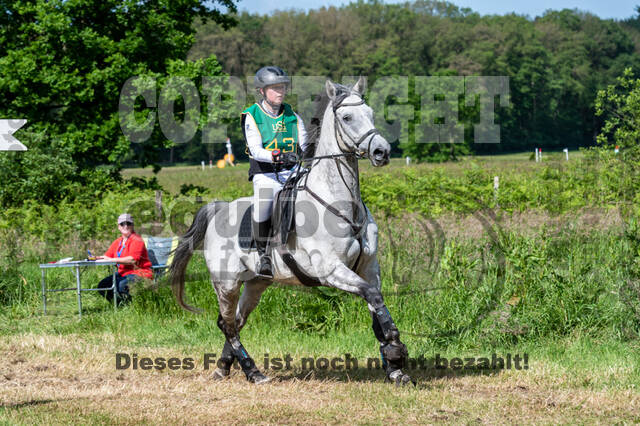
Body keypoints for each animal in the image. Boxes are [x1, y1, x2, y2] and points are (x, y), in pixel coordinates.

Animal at [169, 77, 413, 385]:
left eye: (370, 113)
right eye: (347, 117)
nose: (382, 151)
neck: (342, 204)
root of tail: (219, 210)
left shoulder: (369, 268)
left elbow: (375, 304)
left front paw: (394, 368)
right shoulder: (331, 270)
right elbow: (373, 297)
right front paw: (395, 347)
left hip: (256, 283)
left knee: (235, 321)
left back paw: (224, 367)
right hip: (226, 283)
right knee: (227, 324)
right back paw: (253, 372)